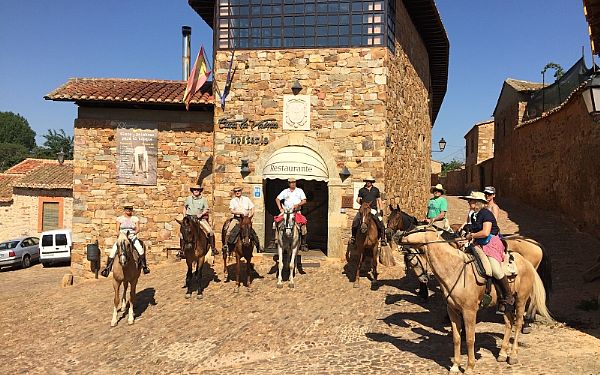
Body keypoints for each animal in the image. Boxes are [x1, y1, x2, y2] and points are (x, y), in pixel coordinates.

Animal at [400, 228, 552, 374]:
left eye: (415, 231)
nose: (399, 235)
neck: (455, 269)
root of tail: (526, 262)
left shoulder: (469, 312)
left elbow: (469, 339)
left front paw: (469, 367)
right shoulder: (452, 311)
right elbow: (456, 339)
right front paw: (455, 366)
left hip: (520, 300)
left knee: (518, 323)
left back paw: (513, 354)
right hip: (506, 304)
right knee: (509, 323)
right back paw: (502, 353)